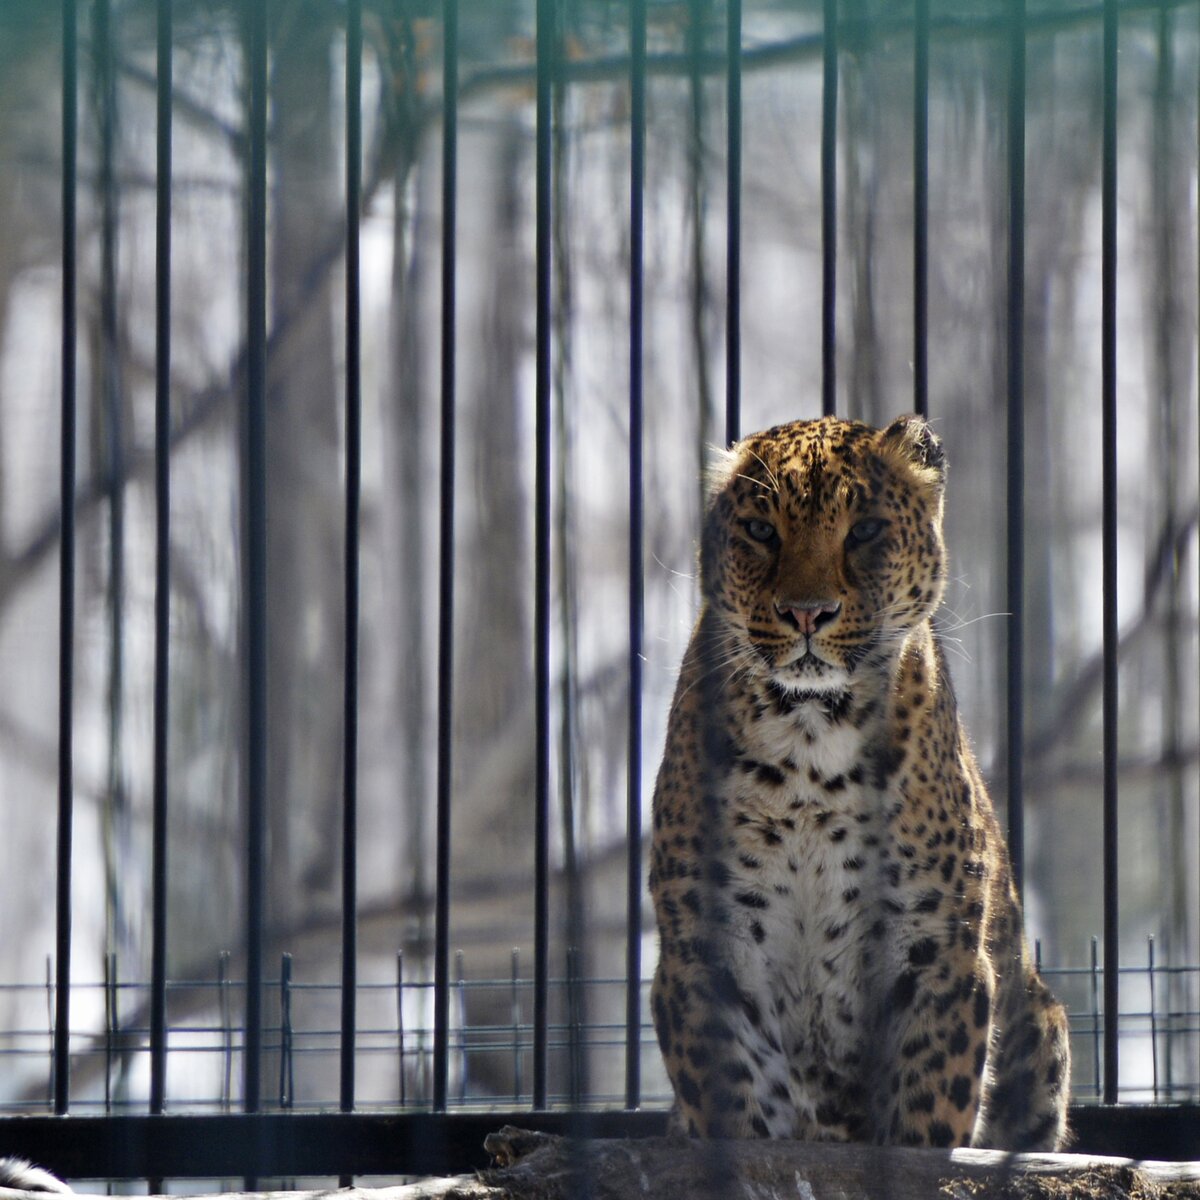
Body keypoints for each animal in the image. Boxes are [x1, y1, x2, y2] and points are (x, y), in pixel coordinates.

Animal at [652, 415, 1075, 1152]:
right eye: (761, 530)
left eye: (867, 530)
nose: (806, 613)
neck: (807, 739)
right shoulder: (703, 948)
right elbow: (738, 1107)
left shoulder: (935, 946)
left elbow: (925, 1116)